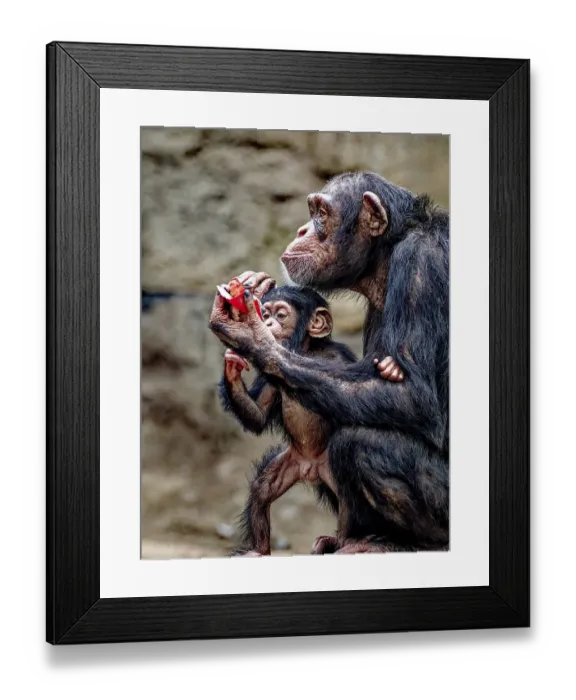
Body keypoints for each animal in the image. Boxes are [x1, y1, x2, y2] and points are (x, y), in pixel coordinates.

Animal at [219, 285, 404, 556]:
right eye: (265, 313)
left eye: (281, 315)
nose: (268, 323)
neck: (307, 350)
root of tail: (310, 469)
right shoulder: (272, 375)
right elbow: (258, 415)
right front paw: (231, 366)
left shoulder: (337, 359)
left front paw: (391, 367)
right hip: (290, 462)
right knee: (262, 488)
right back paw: (259, 549)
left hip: (331, 470)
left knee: (347, 500)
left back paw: (344, 542)